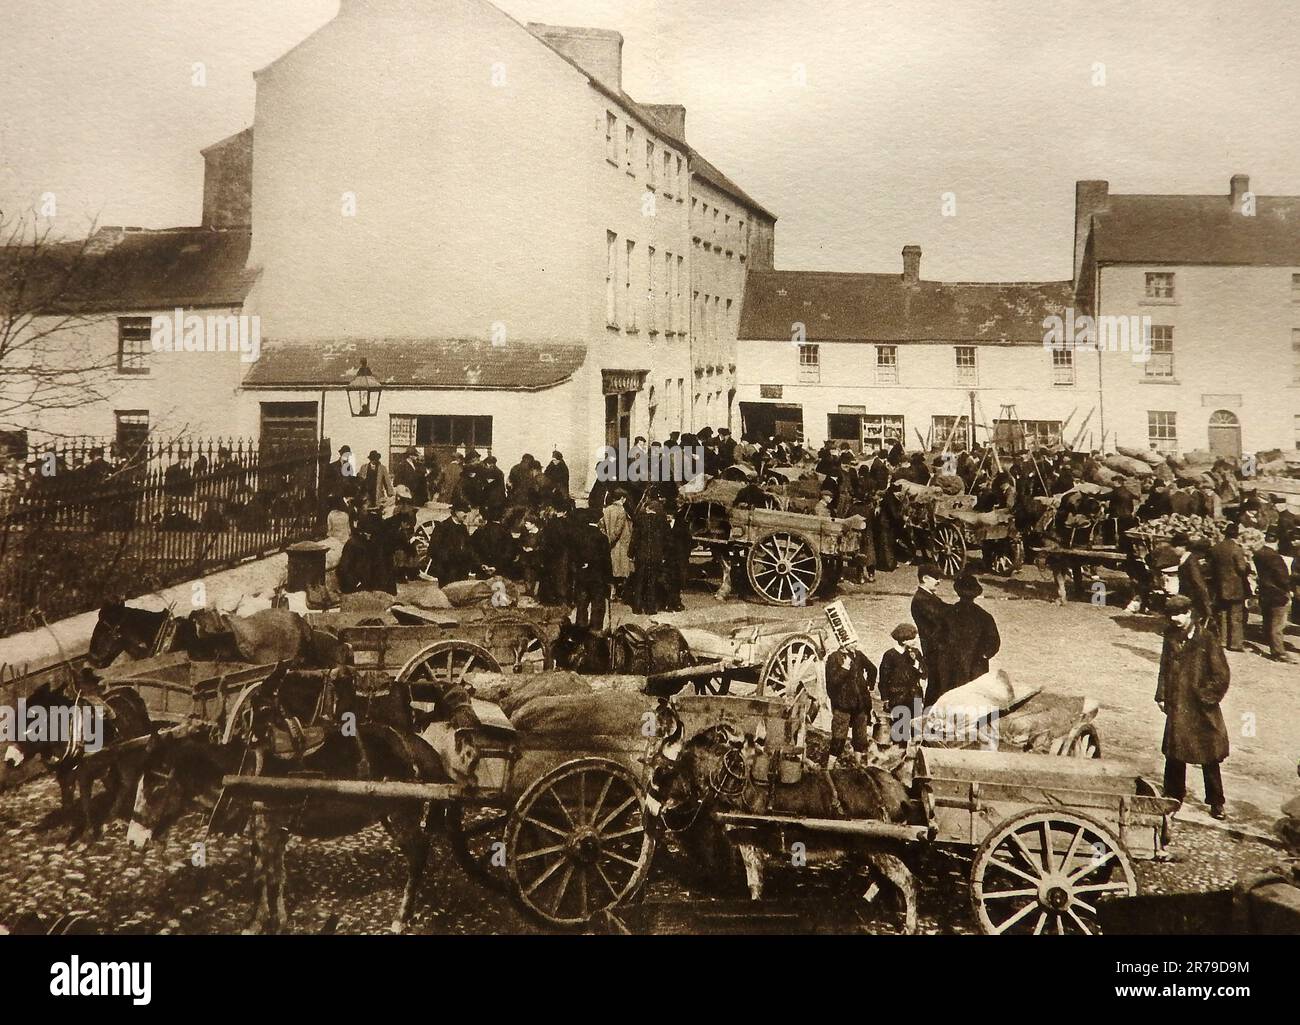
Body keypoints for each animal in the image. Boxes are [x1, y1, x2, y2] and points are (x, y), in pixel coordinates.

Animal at [2, 681, 153, 842]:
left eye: (33, 722)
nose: (10, 759)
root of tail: (130, 692)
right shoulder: (64, 775)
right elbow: (67, 802)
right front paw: (67, 830)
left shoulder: (85, 773)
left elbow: (85, 801)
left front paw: (87, 833)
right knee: (115, 785)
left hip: (129, 757)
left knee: (126, 783)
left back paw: (113, 817)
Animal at [126, 676, 480, 931]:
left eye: (156, 783)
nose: (132, 840)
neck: (242, 771)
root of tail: (421, 747)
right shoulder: (269, 830)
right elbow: (271, 876)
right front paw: (267, 921)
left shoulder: (269, 830)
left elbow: (266, 878)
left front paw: (263, 923)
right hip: (389, 814)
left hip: (402, 813)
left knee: (418, 853)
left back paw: (401, 917)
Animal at [650, 723, 925, 931]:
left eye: (670, 767)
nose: (654, 799)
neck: (729, 778)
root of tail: (899, 790)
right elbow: (755, 882)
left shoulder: (748, 840)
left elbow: (754, 884)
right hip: (871, 850)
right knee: (884, 880)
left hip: (879, 847)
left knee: (908, 881)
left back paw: (909, 925)